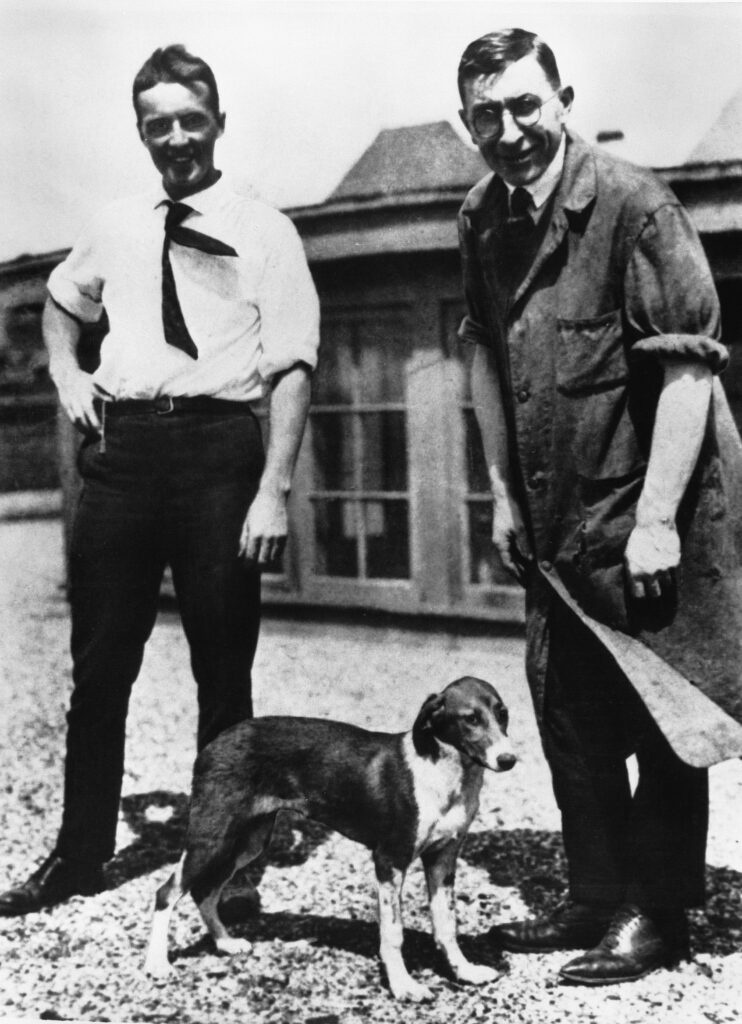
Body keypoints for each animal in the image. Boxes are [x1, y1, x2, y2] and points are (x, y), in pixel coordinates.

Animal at [144, 675, 515, 1003]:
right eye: (470, 719)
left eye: (502, 713)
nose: (508, 759)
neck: (447, 774)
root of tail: (216, 742)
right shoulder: (390, 860)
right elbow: (393, 933)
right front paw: (403, 986)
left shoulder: (443, 858)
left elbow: (446, 924)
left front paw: (464, 971)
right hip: (212, 837)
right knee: (167, 892)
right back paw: (157, 964)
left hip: (247, 841)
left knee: (205, 891)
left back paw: (225, 943)